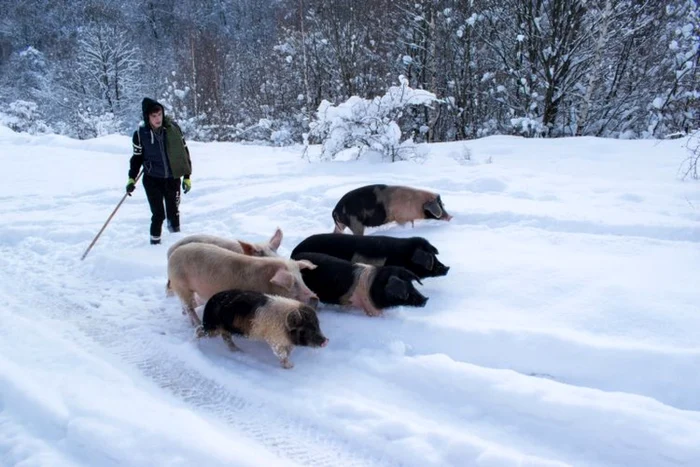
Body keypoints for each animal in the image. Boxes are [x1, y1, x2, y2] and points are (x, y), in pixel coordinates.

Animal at [167, 243, 320, 330]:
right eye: (293, 283)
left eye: (301, 278)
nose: (314, 297)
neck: (266, 283)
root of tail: (173, 255)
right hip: (181, 285)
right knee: (188, 306)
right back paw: (197, 325)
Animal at [198, 288, 326, 370]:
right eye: (306, 328)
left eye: (317, 325)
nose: (326, 341)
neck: (284, 327)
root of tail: (209, 301)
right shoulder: (274, 339)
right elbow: (281, 353)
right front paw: (290, 366)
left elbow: (288, 351)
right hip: (213, 327)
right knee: (199, 331)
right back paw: (195, 344)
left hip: (224, 329)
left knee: (226, 338)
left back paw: (238, 350)